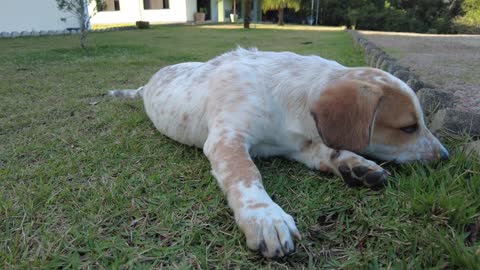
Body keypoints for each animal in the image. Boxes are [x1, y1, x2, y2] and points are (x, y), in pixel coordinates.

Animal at [108, 47, 446, 258]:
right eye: (408, 127)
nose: (445, 157)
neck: (288, 102)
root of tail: (148, 83)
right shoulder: (227, 138)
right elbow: (246, 175)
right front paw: (265, 217)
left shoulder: (300, 146)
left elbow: (331, 151)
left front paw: (358, 165)